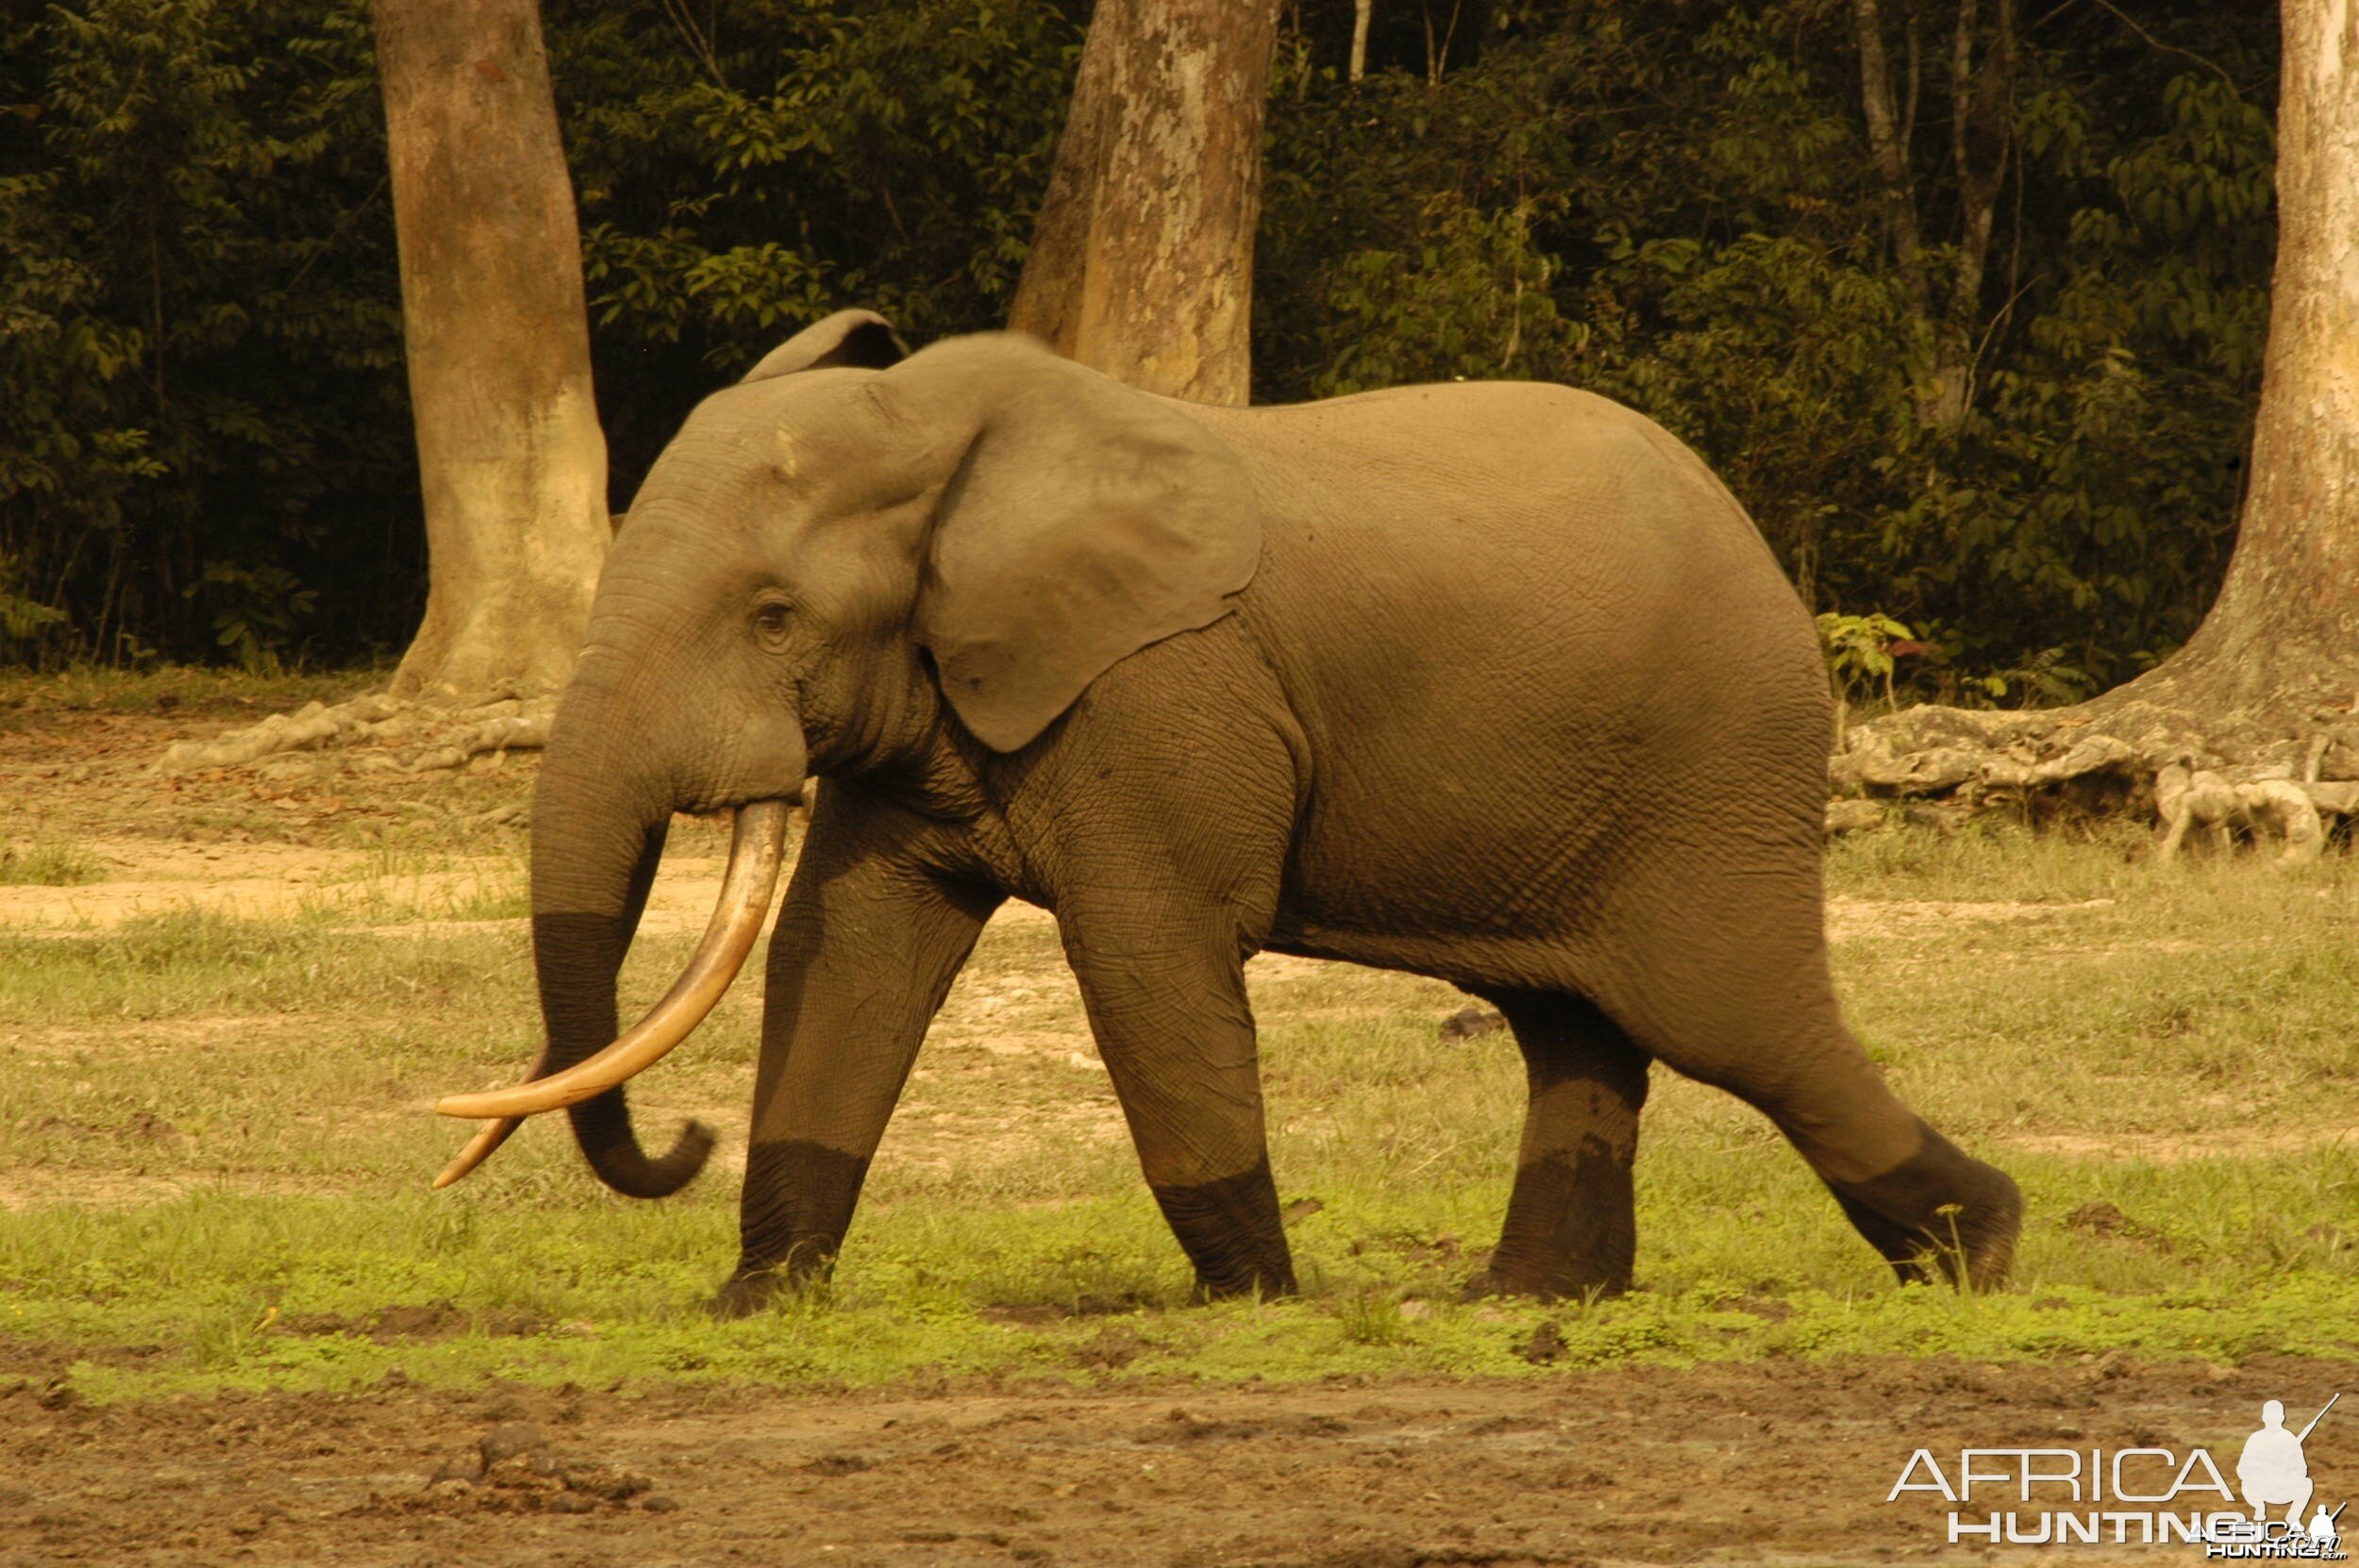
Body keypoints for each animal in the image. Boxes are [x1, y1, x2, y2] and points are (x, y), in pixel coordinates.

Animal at [434, 306, 2019, 1310]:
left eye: (771, 615)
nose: (684, 1140)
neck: (960, 439)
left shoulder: (1161, 691)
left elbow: (1148, 956)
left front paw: (1256, 1301)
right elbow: (849, 952)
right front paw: (755, 1304)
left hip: (1711, 768)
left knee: (1731, 1018)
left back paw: (1979, 1255)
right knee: (1576, 1024)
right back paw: (1522, 1302)